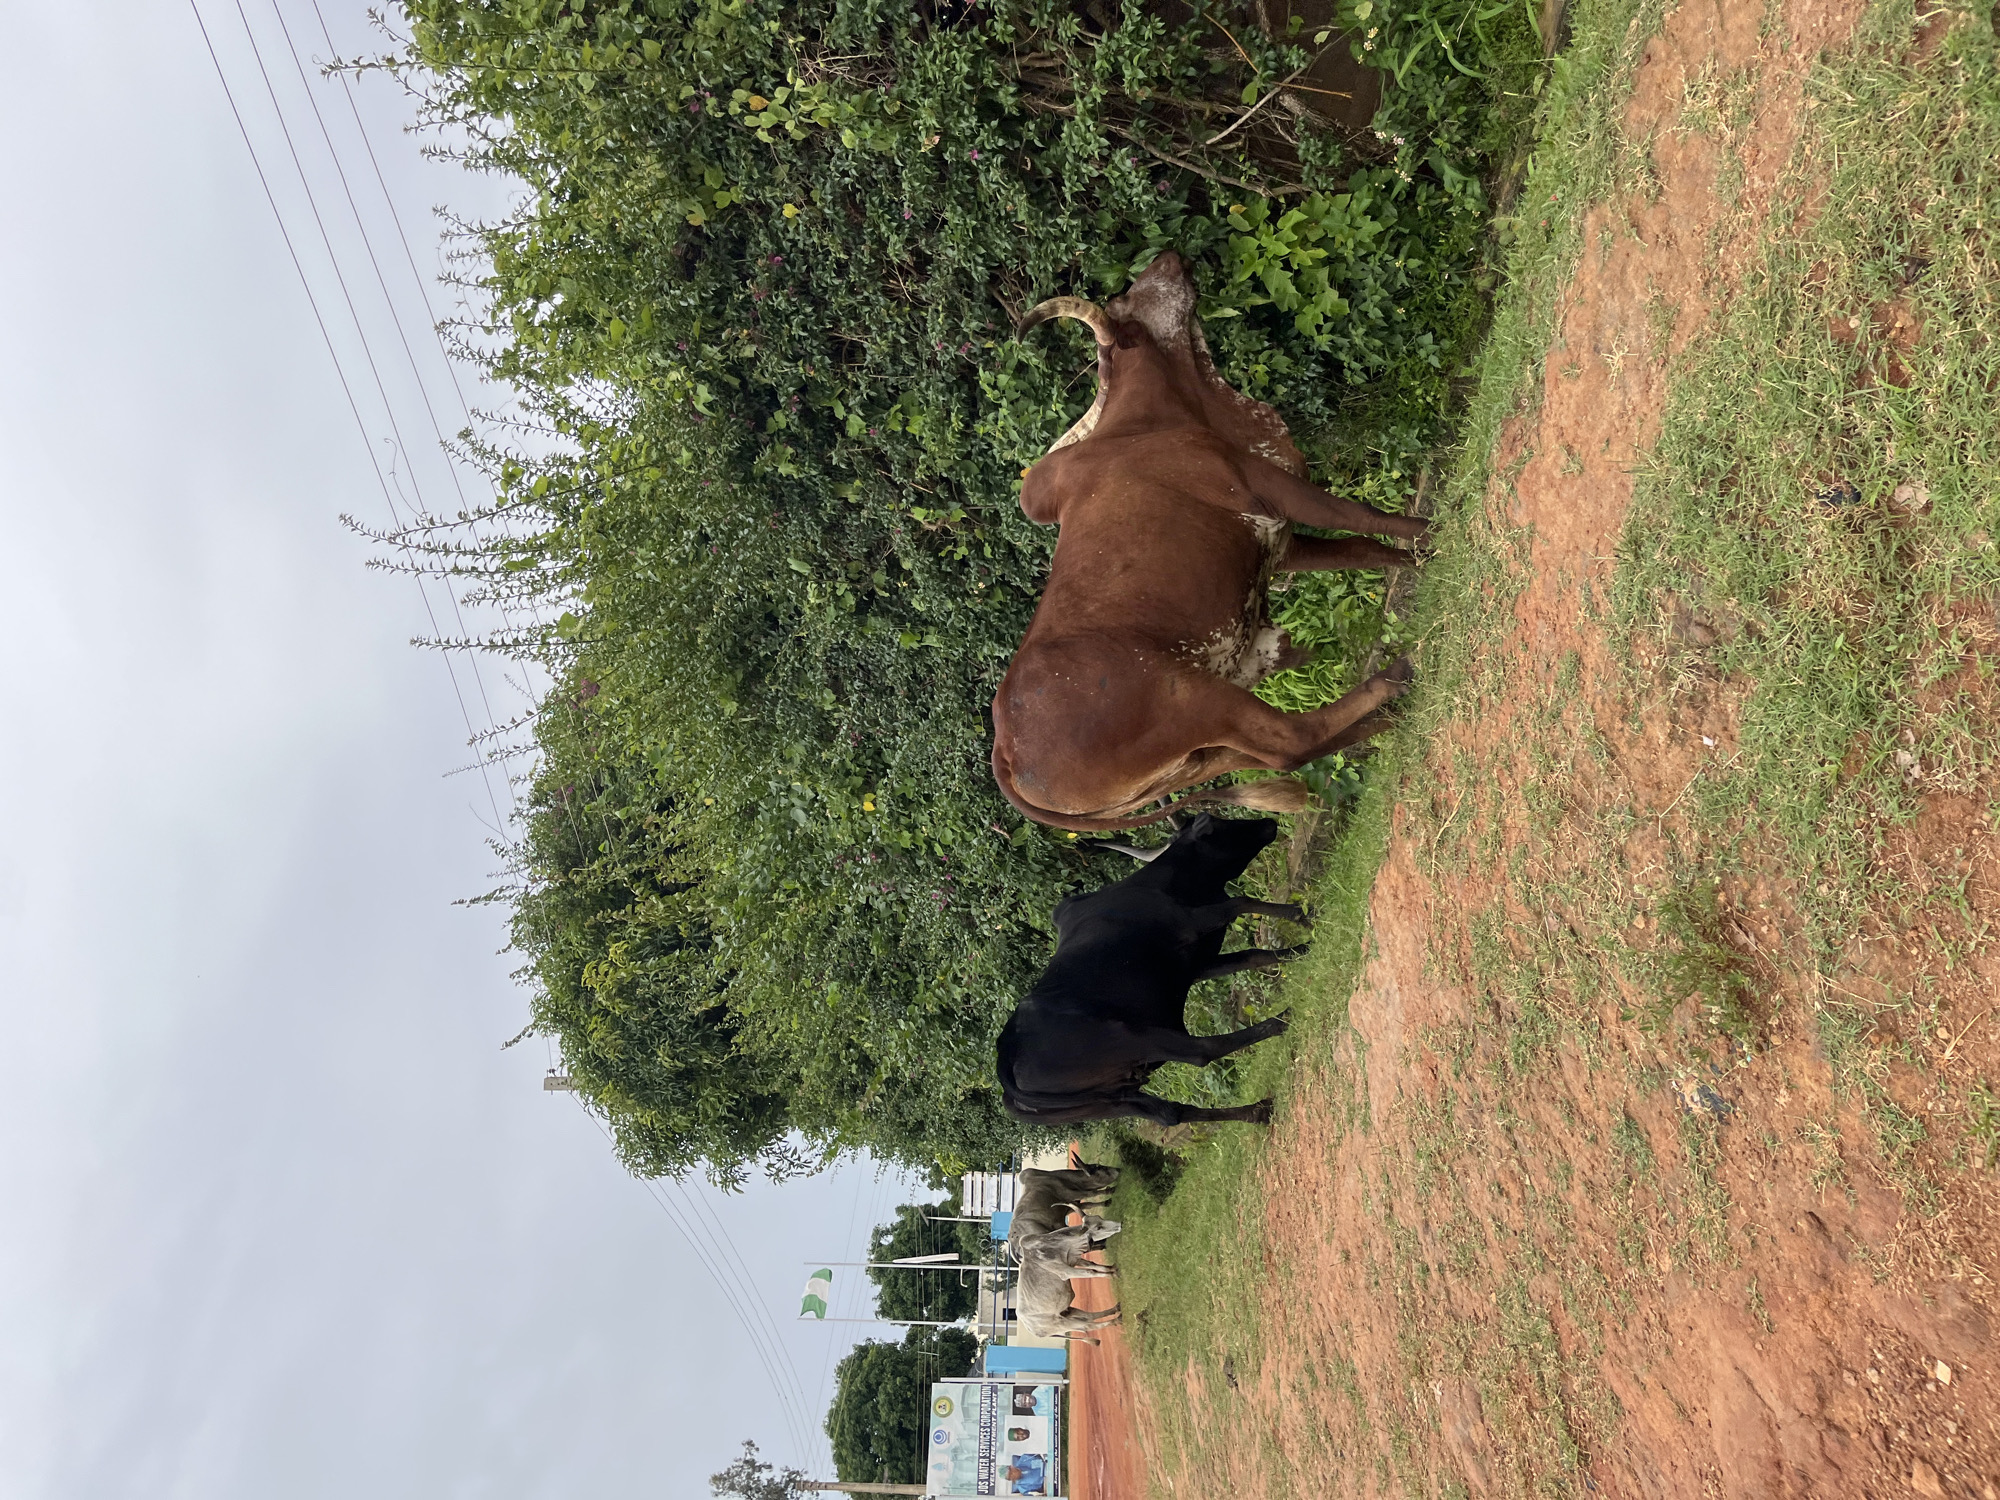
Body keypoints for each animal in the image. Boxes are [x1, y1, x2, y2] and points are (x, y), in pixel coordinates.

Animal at [991, 248, 1430, 831]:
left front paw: (1424, 562)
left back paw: (1386, 723)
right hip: (1196, 700)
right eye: (1126, 308)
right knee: (1293, 737)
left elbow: (1368, 550)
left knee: (1284, 752)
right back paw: (1393, 680)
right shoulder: (1274, 489)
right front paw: (1436, 531)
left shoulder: (1281, 544)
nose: (1169, 256)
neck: (1154, 418)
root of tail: (1005, 753)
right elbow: (1367, 517)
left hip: (1199, 752)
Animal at [995, 812, 1300, 1128]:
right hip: (1136, 1036)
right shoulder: (1194, 921)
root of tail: (1007, 1052)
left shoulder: (1197, 964)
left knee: (1170, 1113)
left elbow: (1253, 956)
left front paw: (1301, 950)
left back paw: (1257, 1111)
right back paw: (1283, 1020)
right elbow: (1241, 903)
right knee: (1203, 1051)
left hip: (1108, 1102)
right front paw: (1300, 915)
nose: (1268, 822)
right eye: (1221, 825)